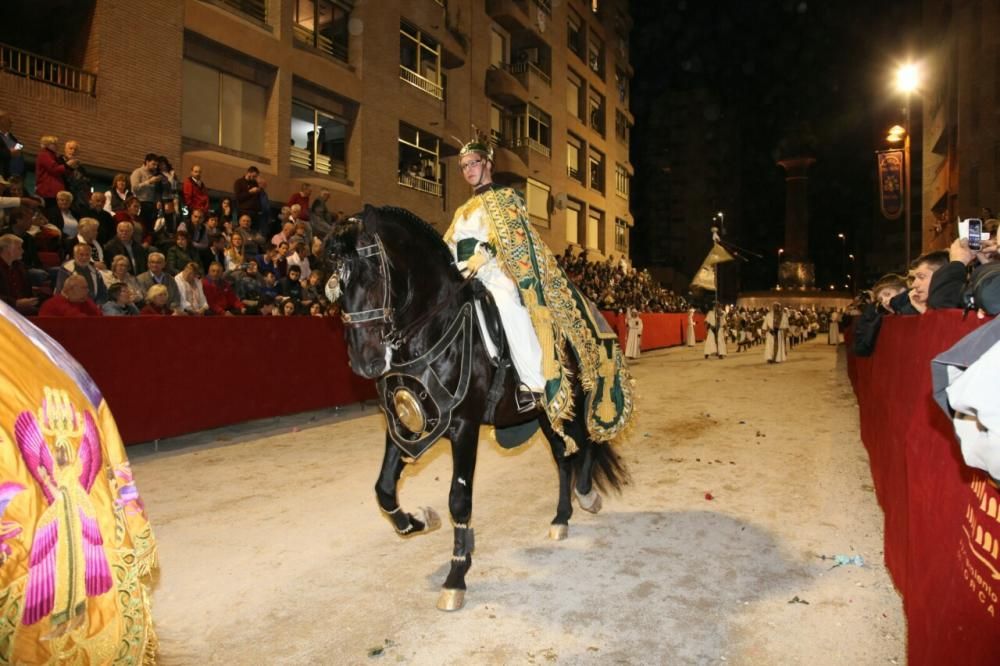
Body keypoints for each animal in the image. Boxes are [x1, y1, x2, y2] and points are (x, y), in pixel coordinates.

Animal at [326, 205, 624, 608]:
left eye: (372, 274)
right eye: (337, 282)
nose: (365, 361)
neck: (433, 327)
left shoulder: (463, 427)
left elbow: (459, 499)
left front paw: (456, 575)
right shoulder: (405, 421)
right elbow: (384, 489)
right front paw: (421, 520)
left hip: (567, 404)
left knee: (586, 444)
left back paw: (587, 495)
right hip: (545, 416)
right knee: (564, 458)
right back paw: (561, 518)